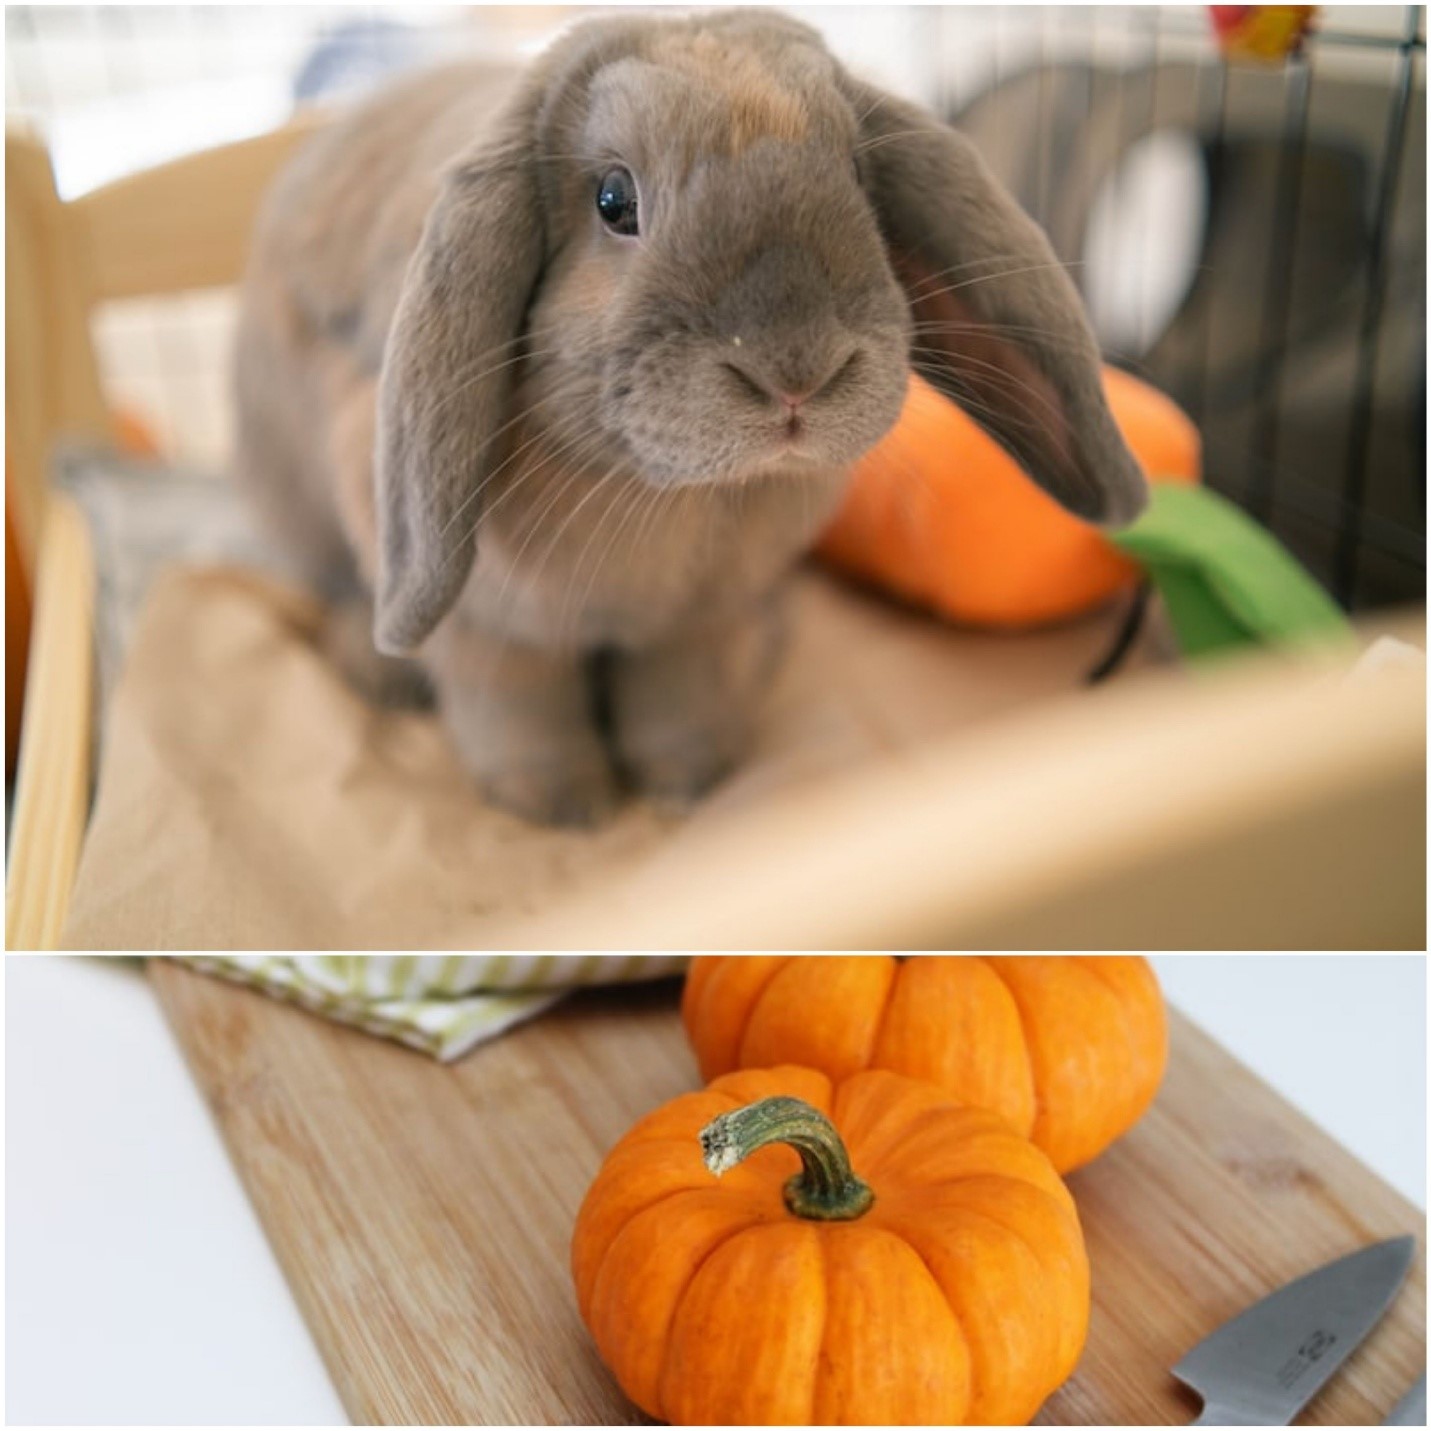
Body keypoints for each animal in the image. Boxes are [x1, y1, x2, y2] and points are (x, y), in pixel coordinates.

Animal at [234, 8, 1147, 827]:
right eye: (612, 199)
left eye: (859, 178)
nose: (797, 372)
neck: (674, 496)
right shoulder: (489, 630)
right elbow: (519, 708)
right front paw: (562, 807)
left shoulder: (696, 623)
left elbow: (675, 696)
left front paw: (688, 781)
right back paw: (379, 670)